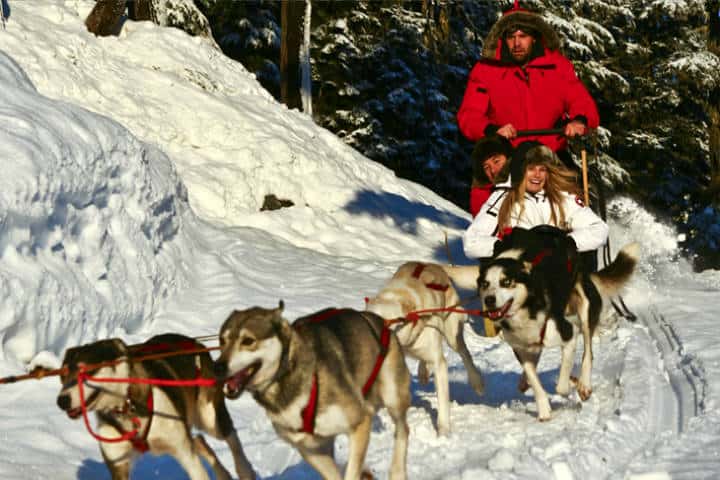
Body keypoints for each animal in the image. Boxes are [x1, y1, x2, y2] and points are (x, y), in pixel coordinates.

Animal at [57, 334, 258, 480]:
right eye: (63, 375)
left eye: (86, 370)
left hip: (210, 418)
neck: (127, 406)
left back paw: (245, 470)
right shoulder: (118, 464)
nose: (61, 401)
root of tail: (194, 342)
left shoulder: (185, 454)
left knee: (231, 436)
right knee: (199, 440)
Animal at [214, 304, 410, 480]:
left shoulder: (360, 423)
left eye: (248, 340)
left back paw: (398, 472)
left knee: (403, 431)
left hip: (393, 396)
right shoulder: (311, 449)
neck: (286, 375)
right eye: (222, 341)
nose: (217, 366)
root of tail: (380, 320)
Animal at [366, 260, 484, 436]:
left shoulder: (439, 363)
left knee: (465, 354)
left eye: (389, 325)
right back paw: (423, 372)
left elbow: (442, 401)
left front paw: (443, 432)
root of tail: (432, 264)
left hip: (452, 334)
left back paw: (477, 381)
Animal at [444, 244, 640, 420]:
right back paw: (525, 381)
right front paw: (544, 409)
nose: (489, 300)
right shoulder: (519, 348)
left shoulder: (569, 335)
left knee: (588, 353)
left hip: (585, 311)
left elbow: (562, 384)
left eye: (506, 282)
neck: (526, 310)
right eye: (485, 284)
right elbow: (534, 379)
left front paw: (570, 383)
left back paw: (583, 384)